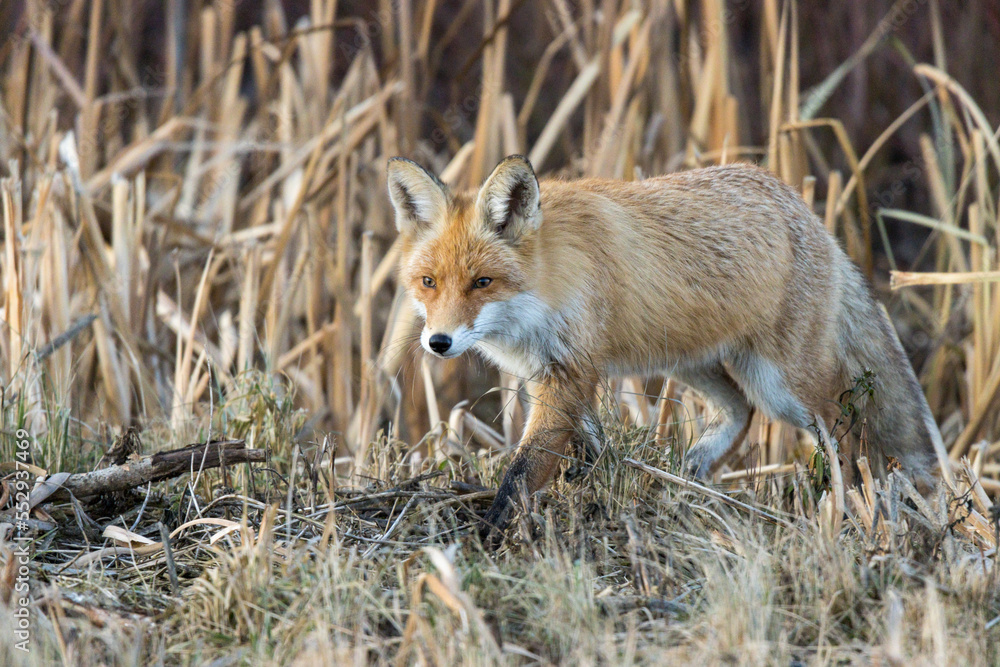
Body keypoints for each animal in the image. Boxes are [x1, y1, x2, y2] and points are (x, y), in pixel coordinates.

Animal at [386, 154, 948, 543]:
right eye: (429, 282)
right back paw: (689, 476)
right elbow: (589, 447)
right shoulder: (551, 374)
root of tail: (806, 212)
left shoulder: (568, 371)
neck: (545, 284)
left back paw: (849, 509)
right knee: (740, 412)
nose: (438, 343)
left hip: (783, 386)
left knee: (843, 433)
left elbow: (524, 469)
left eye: (482, 282)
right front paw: (599, 486)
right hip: (690, 363)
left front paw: (489, 533)